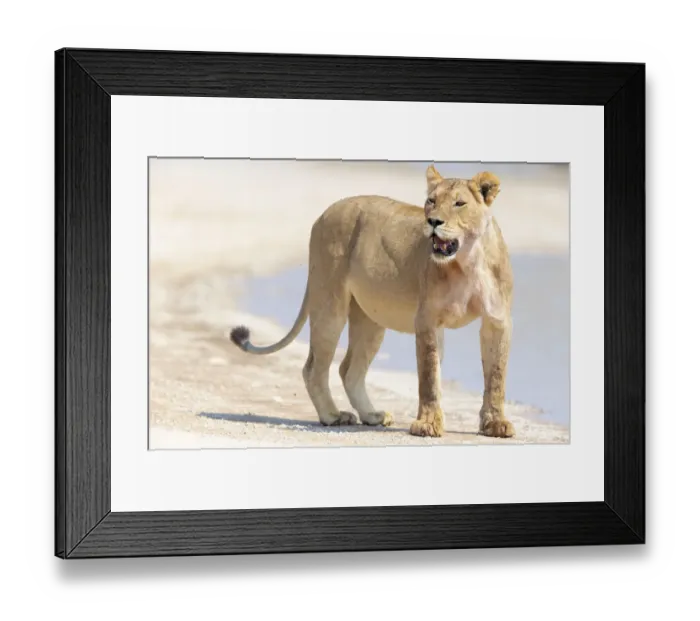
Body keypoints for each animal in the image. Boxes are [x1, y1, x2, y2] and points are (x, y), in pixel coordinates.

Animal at [230, 165, 515, 438]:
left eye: (459, 203)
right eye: (431, 201)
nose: (433, 221)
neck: (466, 261)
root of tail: (325, 213)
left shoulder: (496, 320)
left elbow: (496, 376)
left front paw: (496, 424)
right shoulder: (427, 319)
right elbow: (429, 379)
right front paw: (428, 424)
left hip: (371, 319)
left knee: (349, 370)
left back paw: (372, 415)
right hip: (329, 302)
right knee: (313, 368)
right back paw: (333, 416)